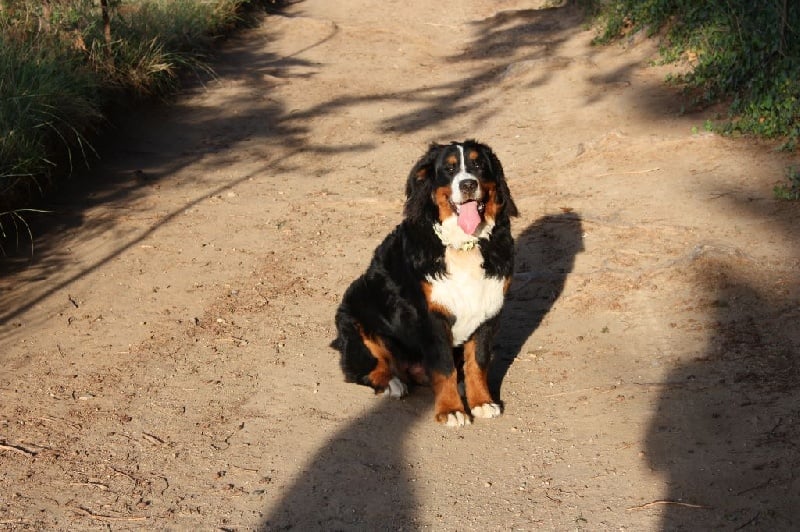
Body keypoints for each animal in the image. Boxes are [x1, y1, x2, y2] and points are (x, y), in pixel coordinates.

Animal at [332, 139, 520, 426]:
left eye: (478, 164)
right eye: (449, 169)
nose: (468, 184)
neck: (463, 248)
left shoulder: (490, 307)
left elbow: (477, 361)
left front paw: (482, 402)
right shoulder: (431, 316)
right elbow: (443, 366)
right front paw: (451, 410)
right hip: (354, 316)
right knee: (362, 369)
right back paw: (392, 384)